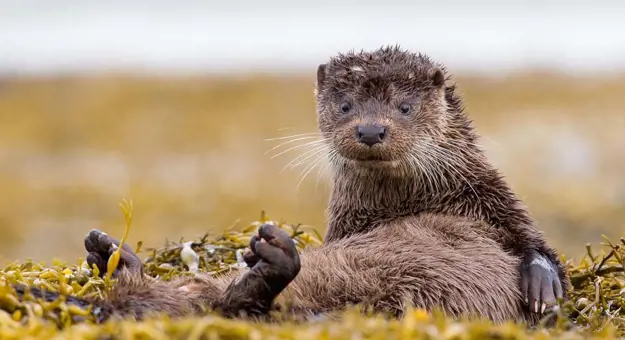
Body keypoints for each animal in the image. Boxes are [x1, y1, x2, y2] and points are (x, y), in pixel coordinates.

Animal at [7, 46, 568, 326]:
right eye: (345, 105)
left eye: (405, 106)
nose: (370, 129)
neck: (418, 199)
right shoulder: (346, 227)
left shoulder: (490, 195)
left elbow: (534, 242)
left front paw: (541, 285)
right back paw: (114, 255)